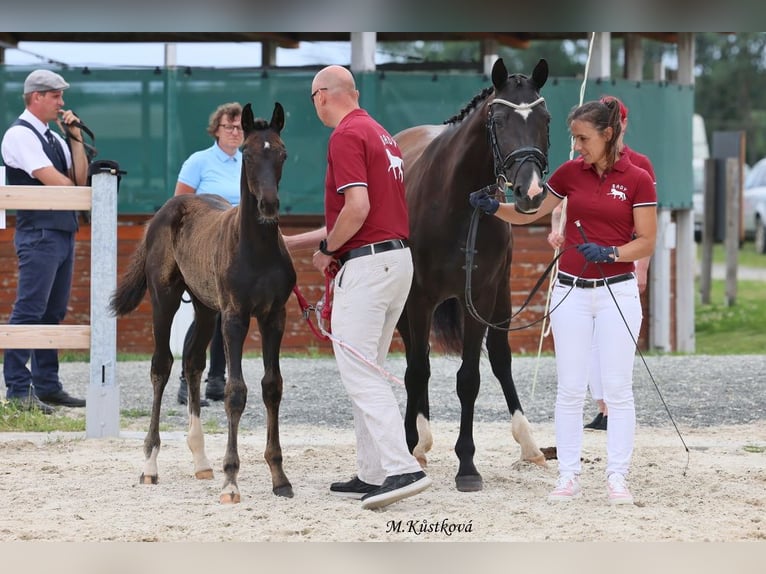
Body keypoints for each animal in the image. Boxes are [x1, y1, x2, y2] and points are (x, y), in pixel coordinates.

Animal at [109, 103, 296, 504]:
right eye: (247, 153)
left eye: (283, 153)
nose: (269, 205)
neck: (256, 248)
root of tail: (167, 209)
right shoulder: (236, 317)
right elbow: (235, 392)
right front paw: (231, 482)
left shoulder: (274, 316)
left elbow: (272, 386)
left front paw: (279, 478)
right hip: (165, 300)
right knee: (162, 366)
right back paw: (150, 465)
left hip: (206, 308)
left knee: (193, 362)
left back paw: (201, 460)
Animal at [396, 59, 552, 496]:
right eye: (497, 120)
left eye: (546, 119)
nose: (531, 191)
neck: (457, 202)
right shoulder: (419, 298)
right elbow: (418, 370)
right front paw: (413, 444)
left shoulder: (479, 297)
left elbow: (470, 377)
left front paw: (467, 465)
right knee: (415, 363)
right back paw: (416, 439)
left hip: (500, 297)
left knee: (500, 357)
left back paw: (529, 444)